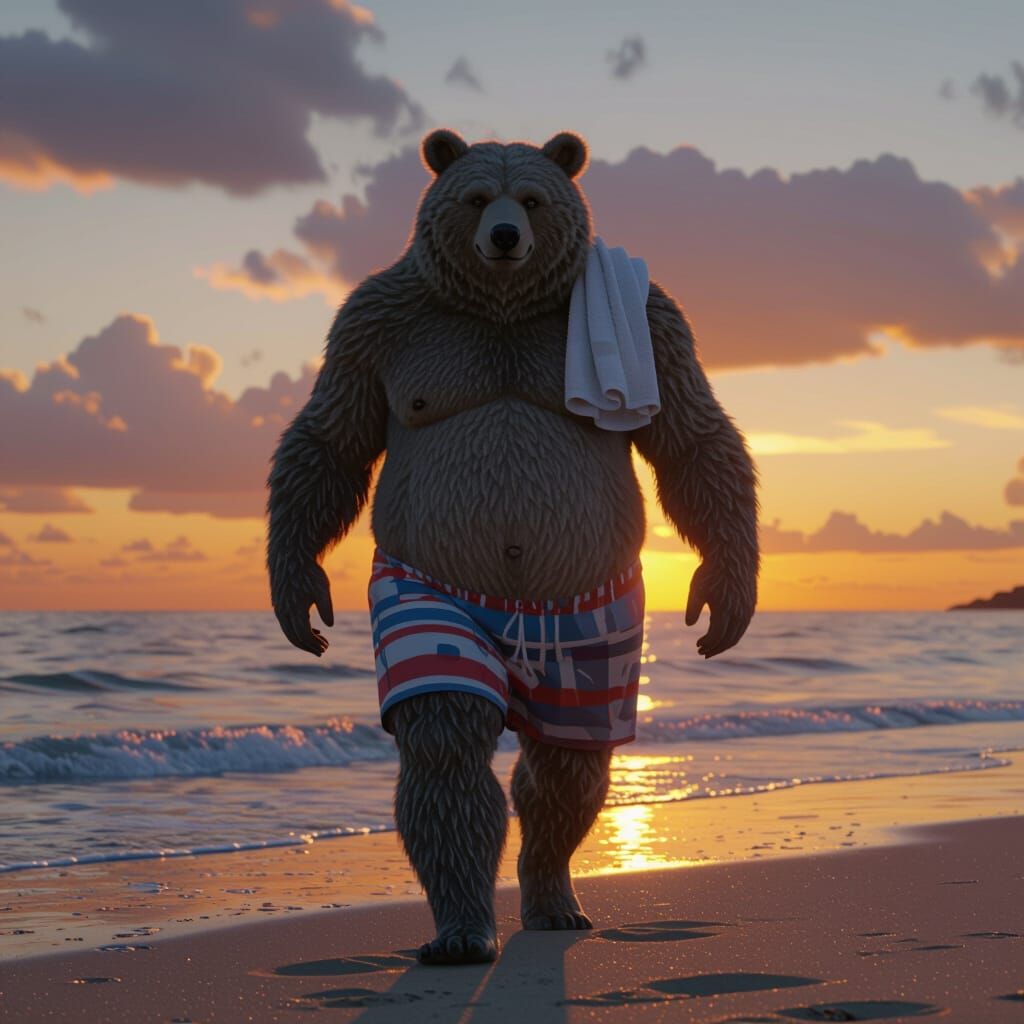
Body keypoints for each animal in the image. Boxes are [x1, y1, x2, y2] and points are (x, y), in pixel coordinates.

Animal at [265, 129, 759, 965]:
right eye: (475, 197)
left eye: (529, 198)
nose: (503, 236)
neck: (500, 308)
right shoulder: (376, 324)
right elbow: (331, 440)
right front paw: (297, 592)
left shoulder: (656, 324)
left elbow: (693, 438)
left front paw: (726, 593)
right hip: (452, 592)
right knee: (459, 743)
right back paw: (471, 924)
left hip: (590, 645)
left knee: (568, 766)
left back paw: (554, 897)